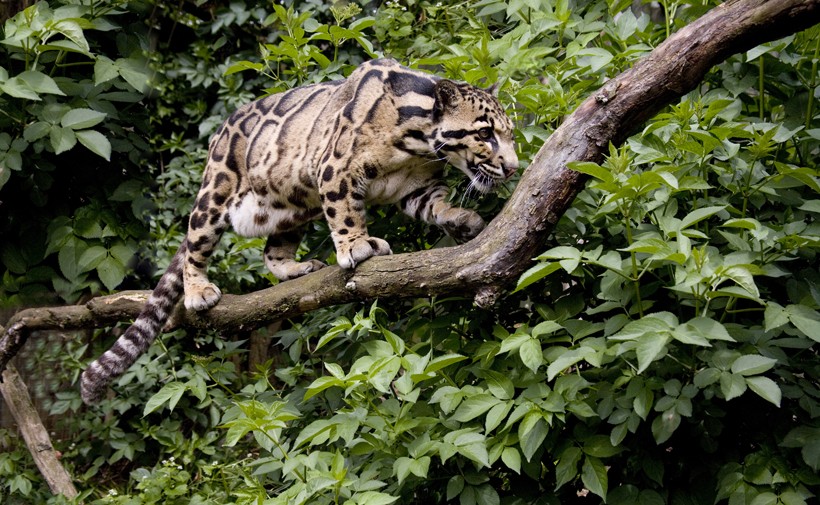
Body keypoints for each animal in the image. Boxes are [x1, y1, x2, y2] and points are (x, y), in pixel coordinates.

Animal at [83, 58, 520, 402]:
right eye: (485, 133)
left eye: (509, 133)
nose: (514, 166)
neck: (417, 143)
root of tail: (220, 132)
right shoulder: (336, 168)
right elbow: (346, 212)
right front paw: (357, 245)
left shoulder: (417, 188)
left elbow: (437, 206)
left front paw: (462, 219)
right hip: (217, 192)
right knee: (193, 245)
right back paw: (197, 289)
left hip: (291, 209)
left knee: (270, 251)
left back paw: (294, 269)